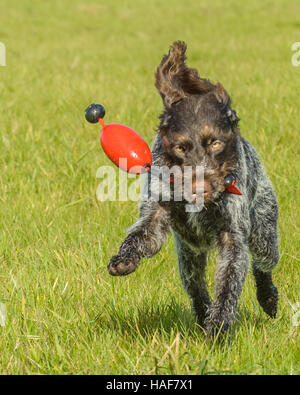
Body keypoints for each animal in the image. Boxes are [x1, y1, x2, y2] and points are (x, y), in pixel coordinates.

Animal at [107, 42, 278, 340]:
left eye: (215, 143)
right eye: (180, 147)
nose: (200, 187)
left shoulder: (233, 239)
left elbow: (228, 288)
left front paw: (219, 328)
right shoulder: (155, 215)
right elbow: (138, 237)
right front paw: (124, 259)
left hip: (264, 235)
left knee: (262, 266)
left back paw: (268, 300)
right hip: (189, 256)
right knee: (196, 288)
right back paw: (201, 315)